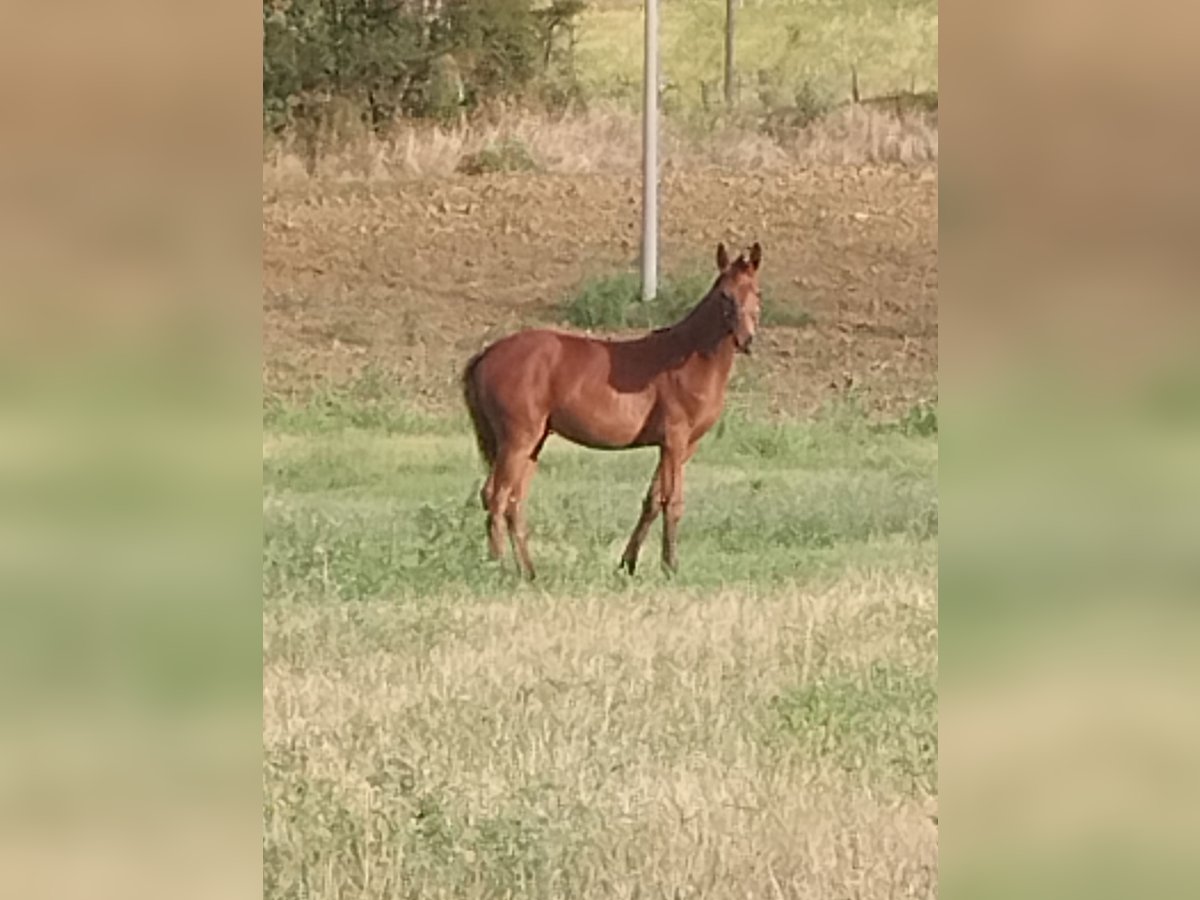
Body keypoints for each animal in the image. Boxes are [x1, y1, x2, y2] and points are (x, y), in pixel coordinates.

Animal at [463, 240, 763, 580]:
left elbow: (652, 501)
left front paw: (628, 564)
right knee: (496, 496)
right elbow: (672, 501)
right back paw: (496, 568)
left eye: (757, 291)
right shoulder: (674, 440)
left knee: (512, 500)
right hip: (517, 441)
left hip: (533, 443)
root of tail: (486, 354)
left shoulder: (684, 446)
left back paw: (528, 571)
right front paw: (670, 567)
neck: (689, 358)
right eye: (724, 294)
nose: (746, 340)